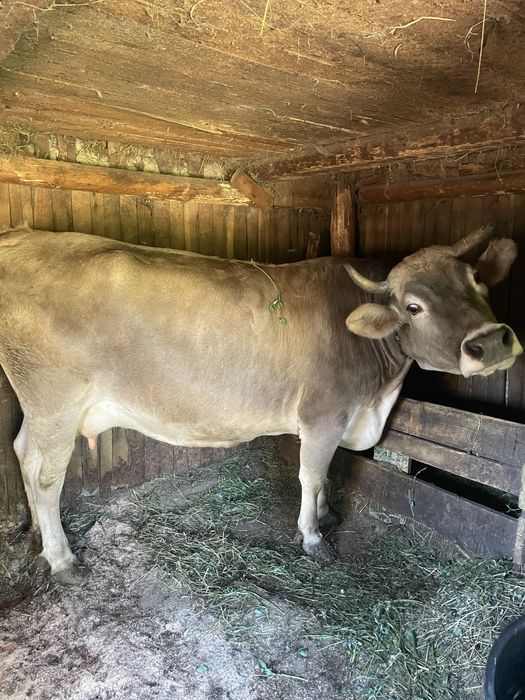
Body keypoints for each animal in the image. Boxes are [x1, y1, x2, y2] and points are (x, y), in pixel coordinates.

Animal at [0, 223, 521, 580]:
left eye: (477, 279)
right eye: (413, 306)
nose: (490, 343)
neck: (376, 397)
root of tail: (21, 237)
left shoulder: (341, 417)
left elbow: (327, 472)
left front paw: (327, 514)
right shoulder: (324, 413)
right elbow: (312, 473)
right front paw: (312, 536)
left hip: (38, 408)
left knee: (22, 453)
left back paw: (35, 536)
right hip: (55, 403)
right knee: (46, 477)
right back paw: (62, 559)